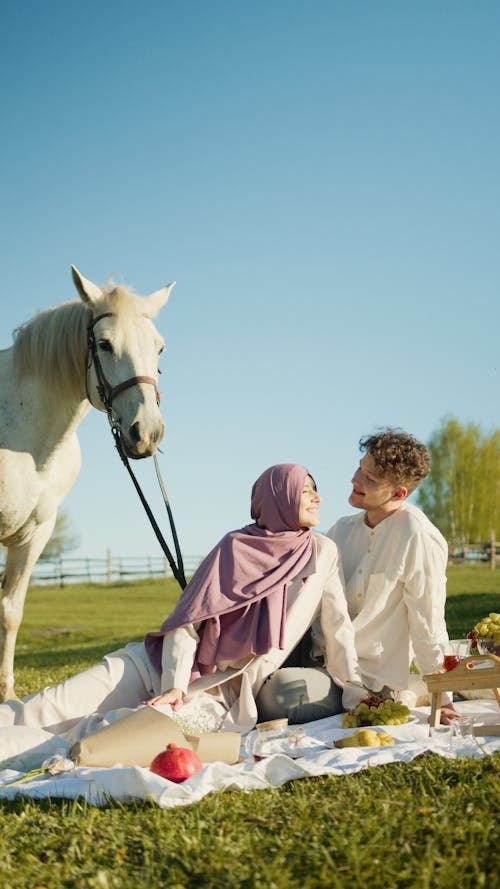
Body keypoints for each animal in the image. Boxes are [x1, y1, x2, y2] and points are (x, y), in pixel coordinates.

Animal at [0, 266, 176, 700]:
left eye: (159, 348)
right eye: (104, 343)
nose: (146, 432)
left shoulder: (36, 533)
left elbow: (11, 612)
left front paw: (7, 697)